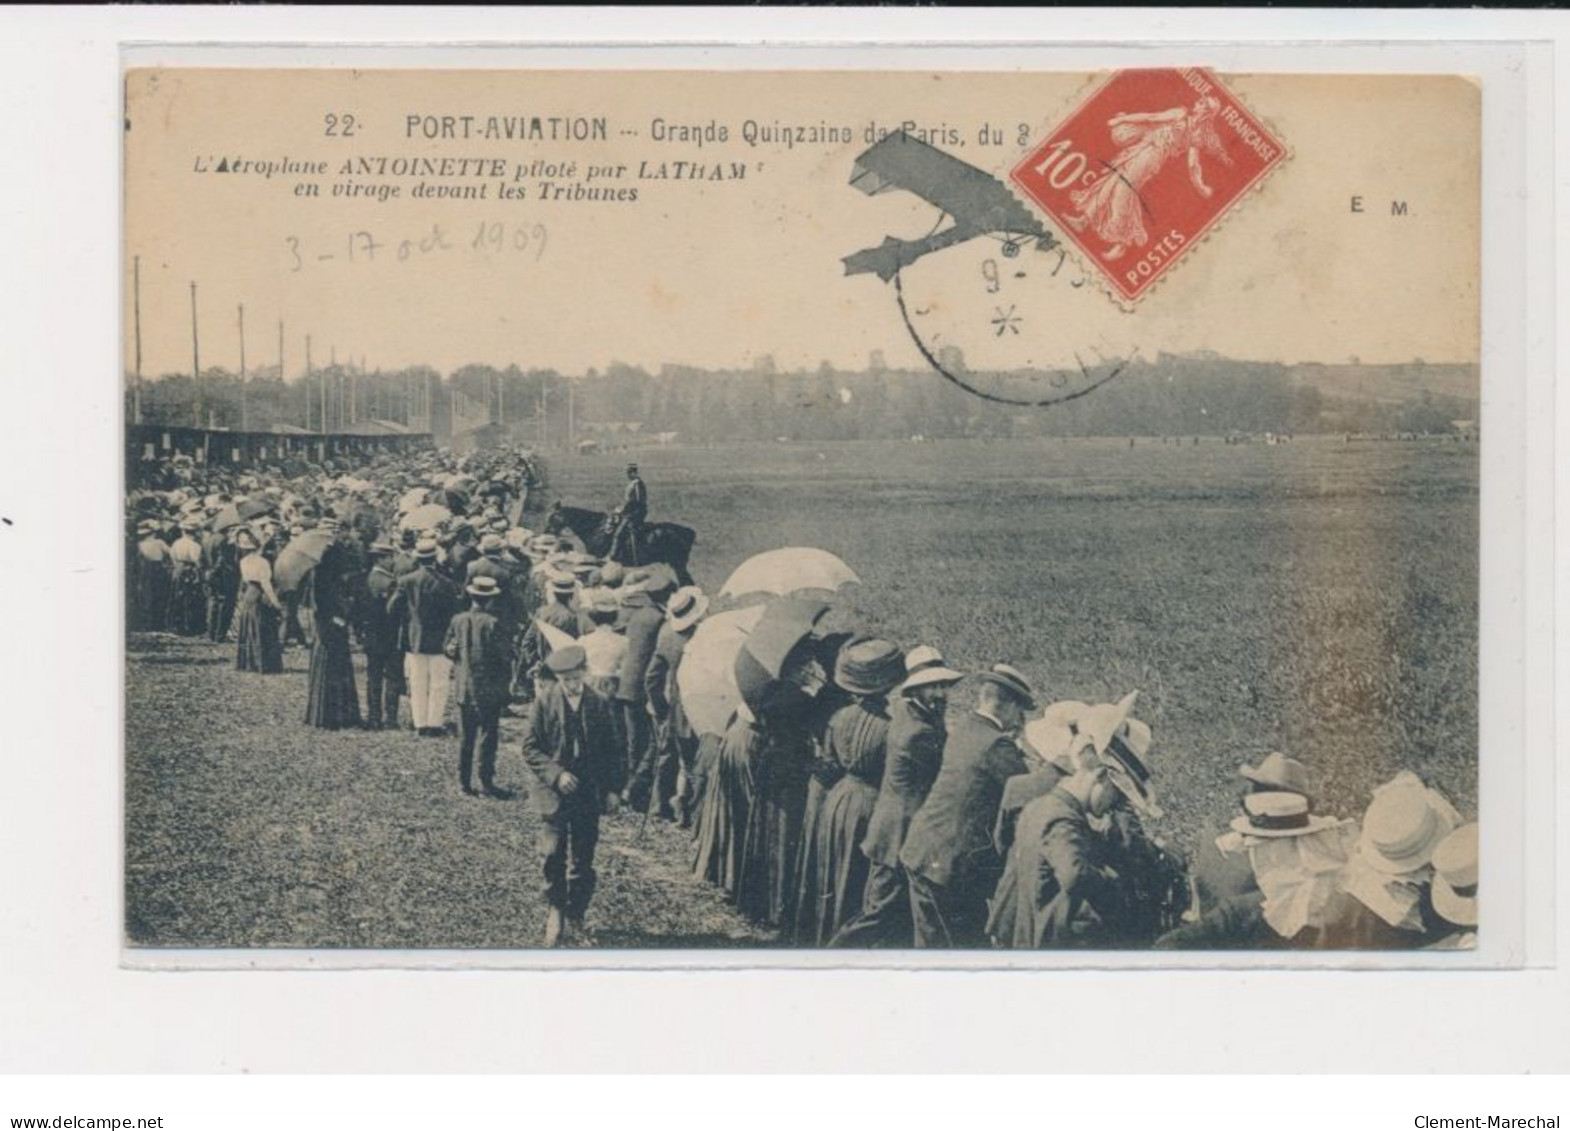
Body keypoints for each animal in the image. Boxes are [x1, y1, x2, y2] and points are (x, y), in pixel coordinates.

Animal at [549, 505, 697, 587]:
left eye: (553, 517)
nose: (547, 531)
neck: (595, 528)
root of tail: (687, 531)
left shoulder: (597, 561)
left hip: (678, 565)